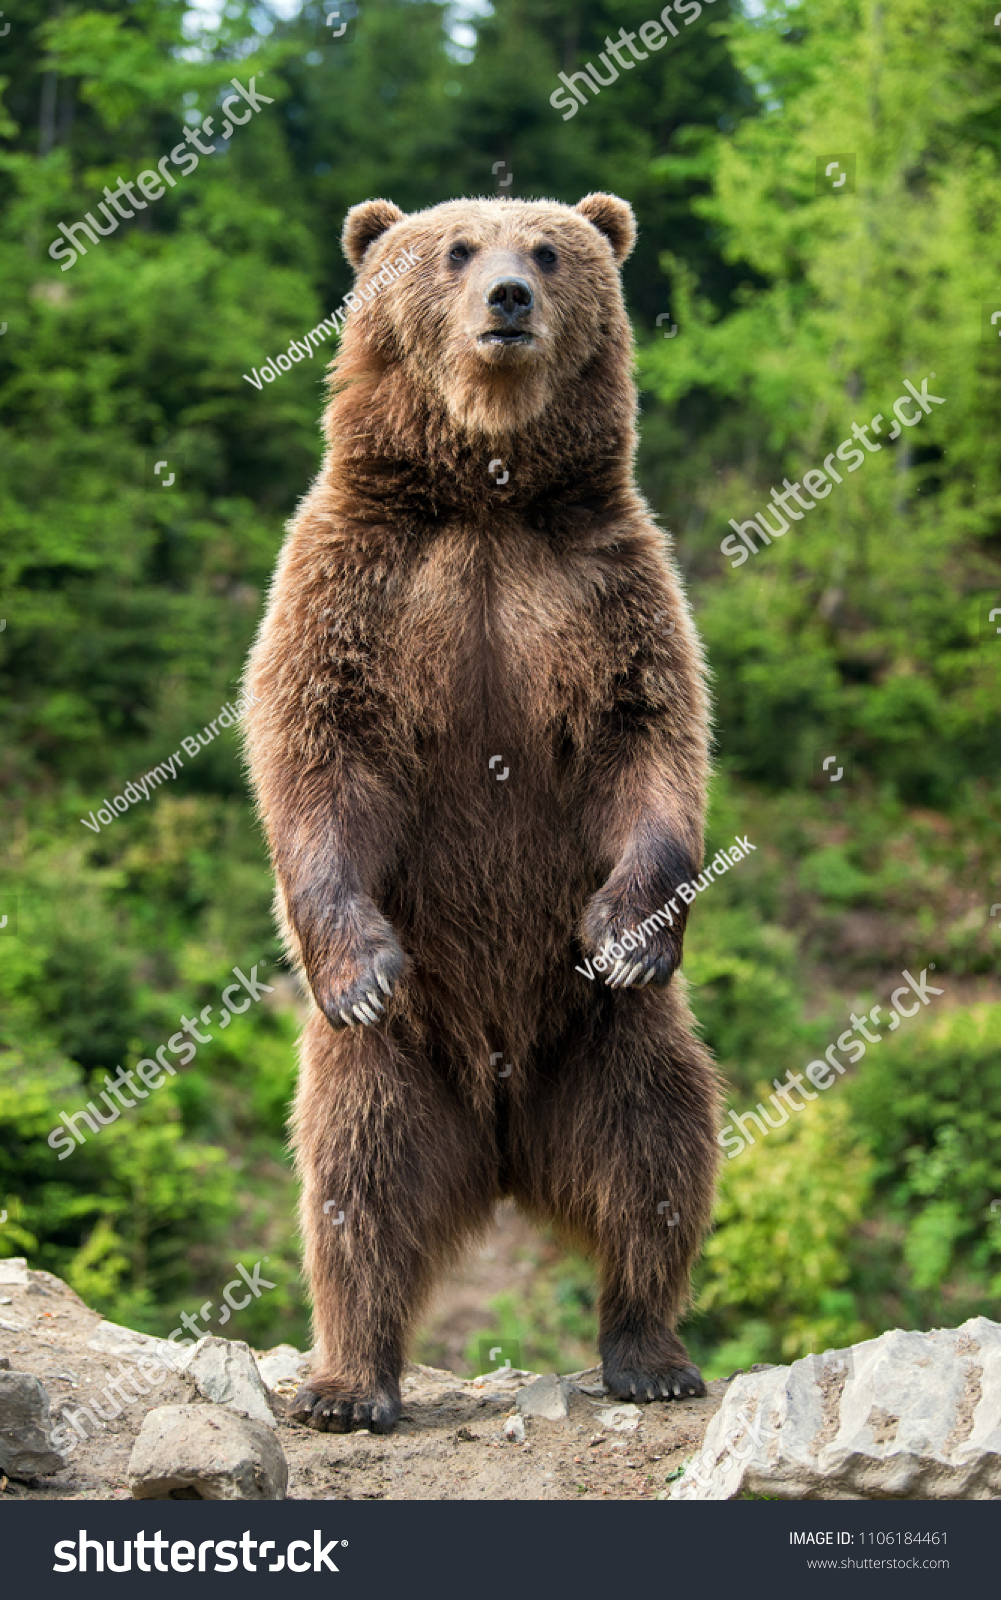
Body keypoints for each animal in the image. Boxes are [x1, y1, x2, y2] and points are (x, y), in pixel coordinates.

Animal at [241, 193, 716, 1433]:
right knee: (355, 1189)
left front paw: (627, 930)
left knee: (657, 1155)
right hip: (397, 1063)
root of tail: (502, 1146)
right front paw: (356, 962)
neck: (485, 494)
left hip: (606, 1040)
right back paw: (347, 1382)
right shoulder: (356, 581)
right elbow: (317, 749)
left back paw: (648, 1351)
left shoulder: (604, 583)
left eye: (547, 250)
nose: (507, 297)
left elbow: (647, 739)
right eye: (456, 249)